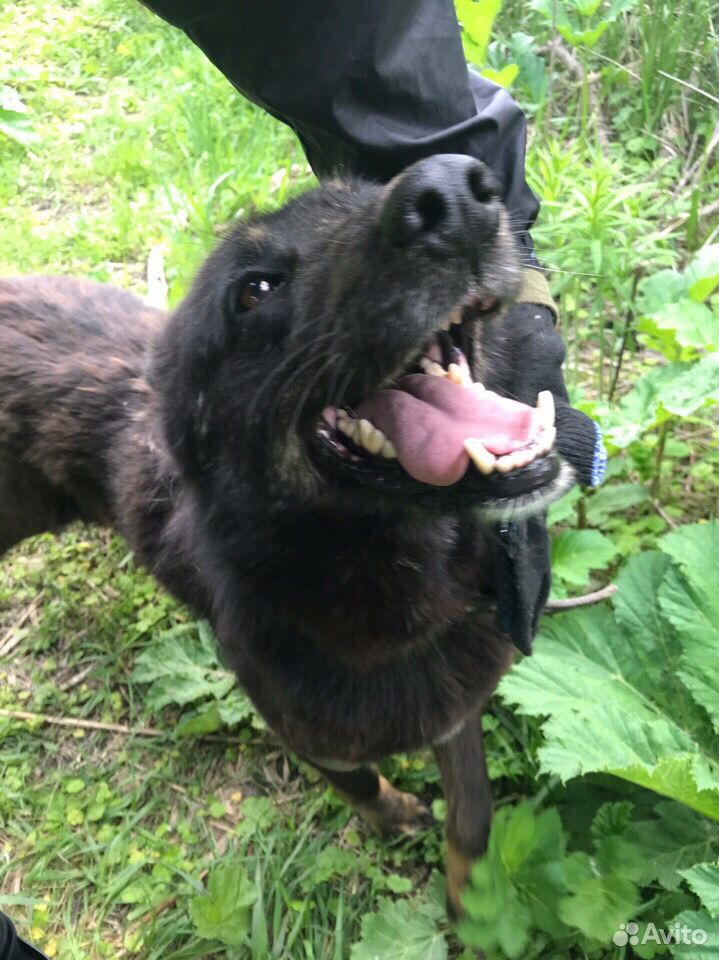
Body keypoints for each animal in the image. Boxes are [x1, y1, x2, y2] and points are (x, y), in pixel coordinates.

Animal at [1, 156, 572, 916]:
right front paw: (394, 814)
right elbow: (356, 780)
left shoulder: (455, 712)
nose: (454, 192)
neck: (389, 599)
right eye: (255, 290)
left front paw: (471, 908)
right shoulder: (305, 729)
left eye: (365, 192)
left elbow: (473, 820)